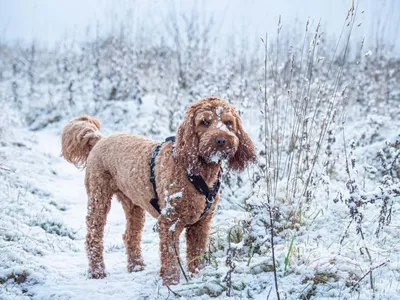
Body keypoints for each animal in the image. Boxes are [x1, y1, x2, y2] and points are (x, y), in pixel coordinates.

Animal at [61, 96, 255, 284]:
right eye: (204, 122)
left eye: (228, 123)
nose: (221, 140)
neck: (195, 169)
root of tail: (99, 139)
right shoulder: (169, 222)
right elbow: (170, 257)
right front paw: (171, 282)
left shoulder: (201, 224)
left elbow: (196, 255)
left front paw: (198, 278)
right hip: (99, 197)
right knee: (93, 235)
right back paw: (97, 271)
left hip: (134, 204)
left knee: (130, 235)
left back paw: (136, 266)